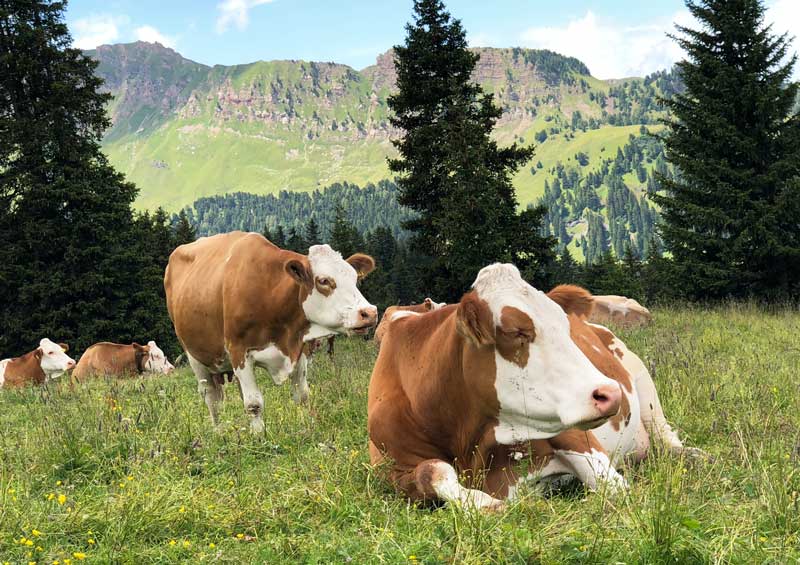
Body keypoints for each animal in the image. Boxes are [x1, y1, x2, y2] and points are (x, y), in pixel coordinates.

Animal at [165, 230, 378, 432]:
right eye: (324, 281)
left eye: (354, 278)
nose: (369, 312)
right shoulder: (238, 351)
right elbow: (253, 404)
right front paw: (259, 436)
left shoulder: (298, 348)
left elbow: (302, 395)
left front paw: (307, 427)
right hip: (196, 358)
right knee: (213, 399)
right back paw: (219, 431)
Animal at [368, 264, 700, 506]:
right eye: (517, 332)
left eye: (565, 325)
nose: (610, 393)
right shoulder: (388, 469)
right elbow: (431, 471)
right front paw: (483, 504)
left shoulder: (571, 433)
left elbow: (612, 487)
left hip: (643, 382)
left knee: (665, 436)